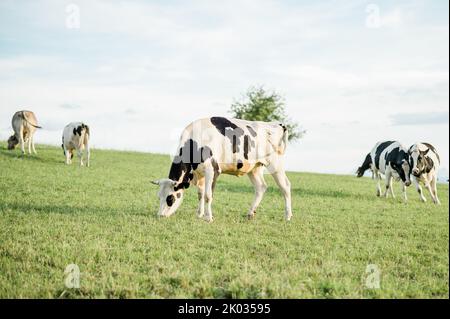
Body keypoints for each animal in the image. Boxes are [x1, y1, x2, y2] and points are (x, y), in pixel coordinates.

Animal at [151, 117, 292, 222]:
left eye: (170, 199)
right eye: (159, 197)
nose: (160, 215)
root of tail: (276, 124)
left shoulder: (212, 170)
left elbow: (208, 195)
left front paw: (208, 218)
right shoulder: (199, 173)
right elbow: (200, 194)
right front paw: (199, 214)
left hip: (275, 164)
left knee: (285, 186)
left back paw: (287, 216)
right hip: (254, 168)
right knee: (261, 187)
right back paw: (250, 214)